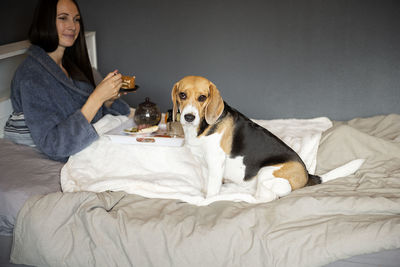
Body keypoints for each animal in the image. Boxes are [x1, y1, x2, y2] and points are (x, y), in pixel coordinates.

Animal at [170, 75, 320, 201]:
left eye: (202, 97)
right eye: (182, 95)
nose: (189, 117)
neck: (202, 128)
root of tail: (307, 174)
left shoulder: (215, 162)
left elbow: (212, 191)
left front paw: (207, 201)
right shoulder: (203, 163)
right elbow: (207, 185)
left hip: (266, 172)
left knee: (262, 198)